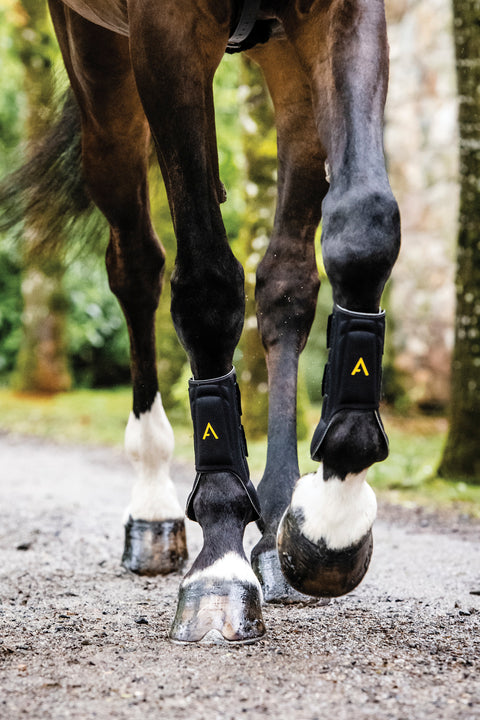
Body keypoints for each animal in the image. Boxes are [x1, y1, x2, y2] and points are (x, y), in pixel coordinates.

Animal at [22, 0, 402, 643]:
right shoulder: (166, 35)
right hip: (100, 74)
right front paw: (220, 557)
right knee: (136, 266)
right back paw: (154, 507)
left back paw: (274, 524)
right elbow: (206, 288)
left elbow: (366, 224)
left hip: (287, 62)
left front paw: (331, 520)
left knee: (285, 282)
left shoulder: (343, 13)